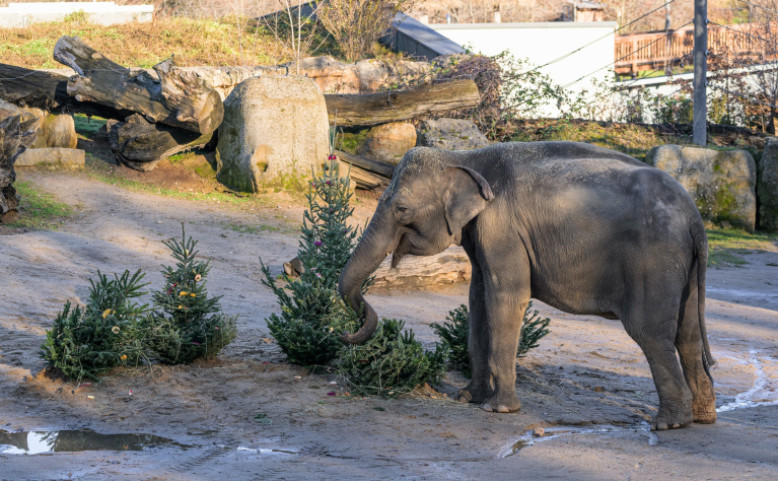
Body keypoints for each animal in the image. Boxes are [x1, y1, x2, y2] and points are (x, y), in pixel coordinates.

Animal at [338, 141, 716, 430]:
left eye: (402, 209)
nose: (345, 333)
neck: (465, 157)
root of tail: (694, 216)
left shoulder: (502, 227)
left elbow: (505, 298)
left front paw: (499, 409)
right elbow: (478, 300)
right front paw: (467, 397)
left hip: (654, 259)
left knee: (649, 332)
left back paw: (669, 423)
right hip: (681, 265)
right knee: (688, 334)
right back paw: (702, 417)